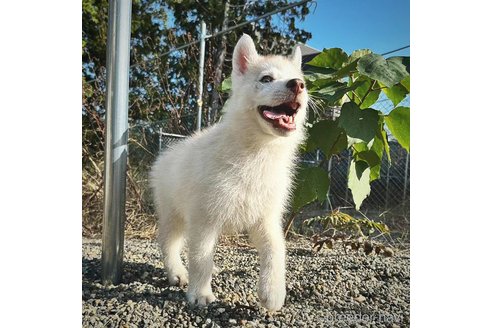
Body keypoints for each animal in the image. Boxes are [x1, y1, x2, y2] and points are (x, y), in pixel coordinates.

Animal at [151, 34, 308, 312]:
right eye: (266, 79)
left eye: (301, 81)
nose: (298, 85)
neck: (258, 153)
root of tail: (166, 153)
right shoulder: (205, 219)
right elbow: (200, 258)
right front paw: (200, 293)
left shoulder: (267, 218)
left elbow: (276, 250)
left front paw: (272, 292)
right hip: (174, 215)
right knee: (169, 243)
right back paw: (178, 273)